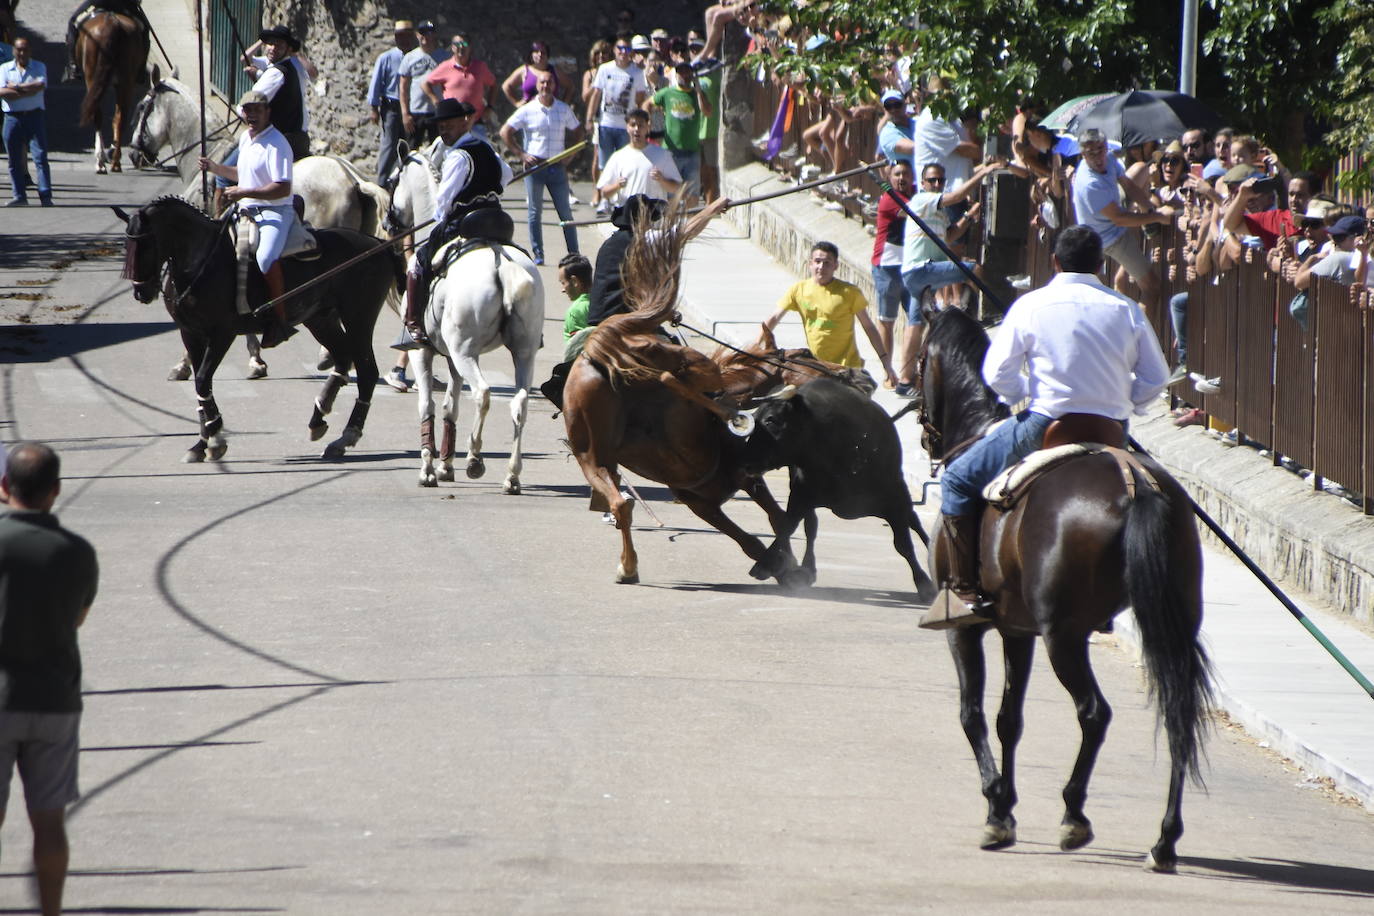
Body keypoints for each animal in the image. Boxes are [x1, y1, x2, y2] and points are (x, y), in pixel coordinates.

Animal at [76, 10, 147, 174]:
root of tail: (112, 23)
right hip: (124, 82)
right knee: (119, 118)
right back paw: (113, 161)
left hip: (96, 78)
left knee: (102, 115)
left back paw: (103, 161)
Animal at [118, 197, 401, 461]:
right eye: (128, 245)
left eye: (145, 244)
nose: (141, 292)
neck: (203, 263)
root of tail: (376, 244)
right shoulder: (190, 334)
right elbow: (200, 387)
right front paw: (201, 444)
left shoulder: (222, 334)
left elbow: (202, 380)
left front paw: (216, 440)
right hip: (321, 319)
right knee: (343, 358)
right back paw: (319, 419)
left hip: (358, 318)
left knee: (366, 372)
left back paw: (346, 435)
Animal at [412, 236, 546, 494]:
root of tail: (502, 263)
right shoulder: (451, 361)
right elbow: (450, 408)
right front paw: (445, 466)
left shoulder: (420, 352)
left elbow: (427, 406)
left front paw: (428, 471)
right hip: (524, 353)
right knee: (520, 403)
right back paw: (512, 476)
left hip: (463, 352)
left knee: (482, 393)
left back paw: (474, 457)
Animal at [917, 302, 1209, 873]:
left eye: (919, 357)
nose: (925, 434)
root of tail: (1133, 482)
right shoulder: (1016, 630)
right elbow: (1009, 718)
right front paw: (1004, 807)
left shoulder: (966, 630)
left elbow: (972, 715)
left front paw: (996, 808)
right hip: (1170, 622)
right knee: (1178, 716)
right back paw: (1164, 840)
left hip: (1065, 635)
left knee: (1094, 713)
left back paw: (1075, 814)